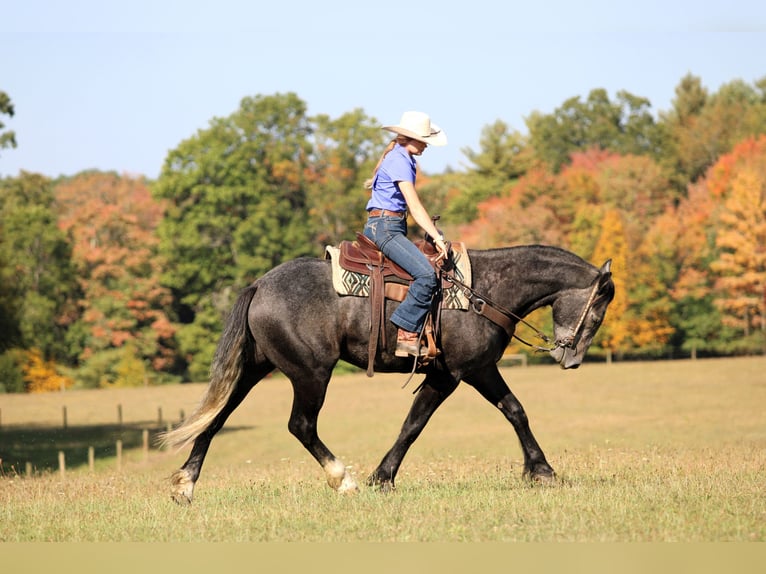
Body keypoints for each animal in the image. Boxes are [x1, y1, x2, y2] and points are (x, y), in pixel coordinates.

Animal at [160, 244, 614, 503]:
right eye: (598, 309)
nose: (571, 359)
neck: (483, 291)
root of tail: (260, 285)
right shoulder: (458, 373)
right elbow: (419, 424)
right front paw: (381, 477)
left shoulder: (471, 371)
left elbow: (508, 411)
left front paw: (541, 470)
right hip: (311, 374)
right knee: (301, 425)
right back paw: (342, 480)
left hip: (255, 369)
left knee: (216, 419)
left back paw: (185, 484)